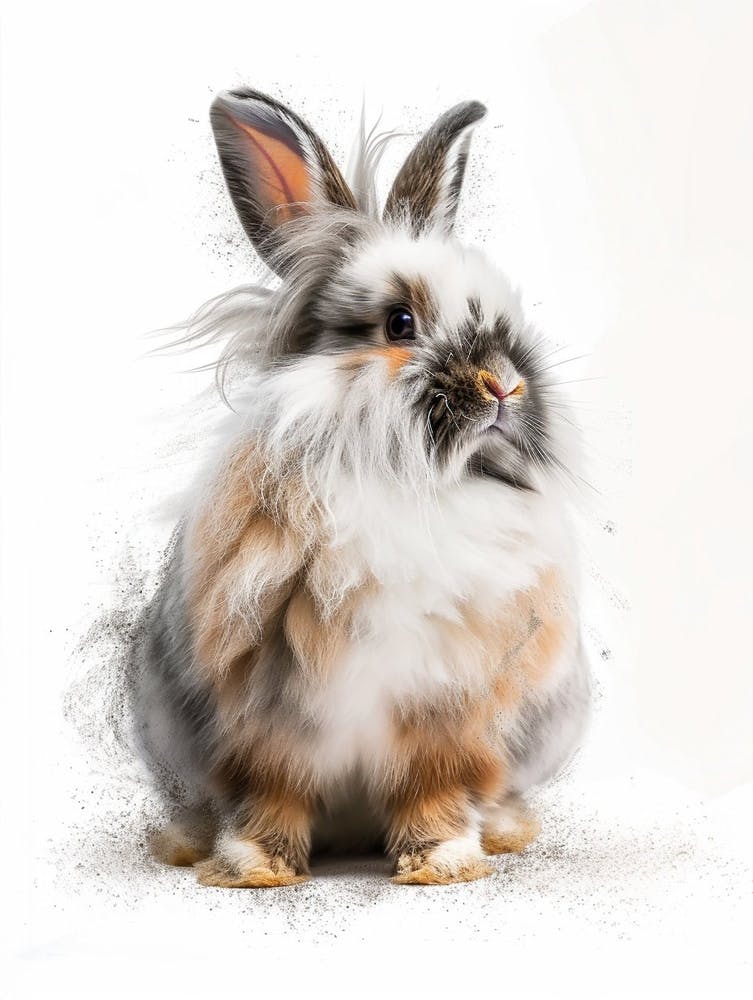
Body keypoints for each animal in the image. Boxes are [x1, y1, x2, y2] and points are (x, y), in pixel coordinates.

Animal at [131, 87, 591, 887]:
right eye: (399, 322)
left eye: (504, 316)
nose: (505, 384)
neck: (409, 485)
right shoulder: (263, 717)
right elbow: (270, 791)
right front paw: (256, 867)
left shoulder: (449, 708)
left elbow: (434, 789)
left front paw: (441, 862)